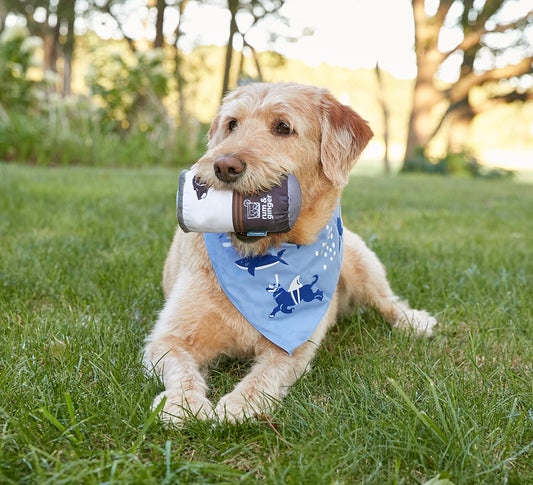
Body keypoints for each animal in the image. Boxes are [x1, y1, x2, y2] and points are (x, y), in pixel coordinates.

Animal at [142, 83, 436, 424]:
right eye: (231, 124)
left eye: (283, 127)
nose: (224, 166)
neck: (261, 254)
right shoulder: (170, 335)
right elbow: (179, 366)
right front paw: (183, 402)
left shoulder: (294, 343)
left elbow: (266, 373)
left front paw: (240, 403)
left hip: (359, 261)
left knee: (387, 301)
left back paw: (415, 322)